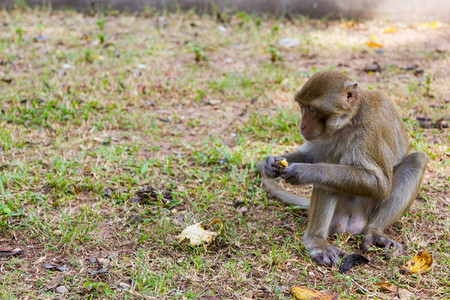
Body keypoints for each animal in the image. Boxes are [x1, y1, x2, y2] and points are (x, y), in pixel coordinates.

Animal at [258, 71, 428, 268]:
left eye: (312, 109)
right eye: (302, 106)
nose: (302, 126)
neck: (348, 122)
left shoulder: (367, 133)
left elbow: (380, 184)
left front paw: (305, 172)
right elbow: (309, 156)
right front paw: (269, 164)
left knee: (417, 160)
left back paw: (369, 232)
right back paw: (319, 240)